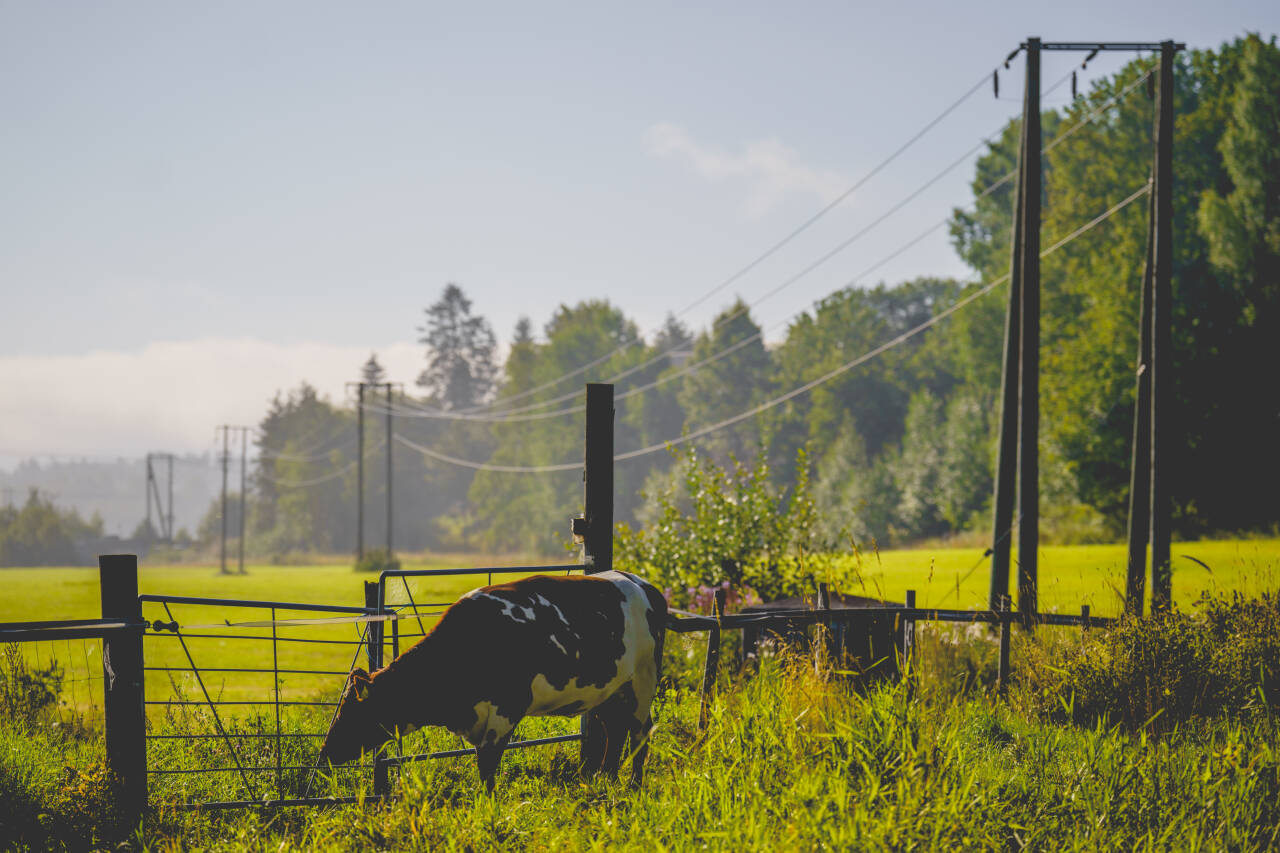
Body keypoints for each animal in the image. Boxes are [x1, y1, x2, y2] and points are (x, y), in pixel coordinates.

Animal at [317, 568, 670, 788]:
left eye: (350, 711)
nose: (325, 754)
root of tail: (641, 583)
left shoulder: (505, 711)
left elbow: (487, 768)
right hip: (609, 689)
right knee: (616, 729)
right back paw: (604, 781)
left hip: (643, 681)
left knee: (641, 733)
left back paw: (633, 786)